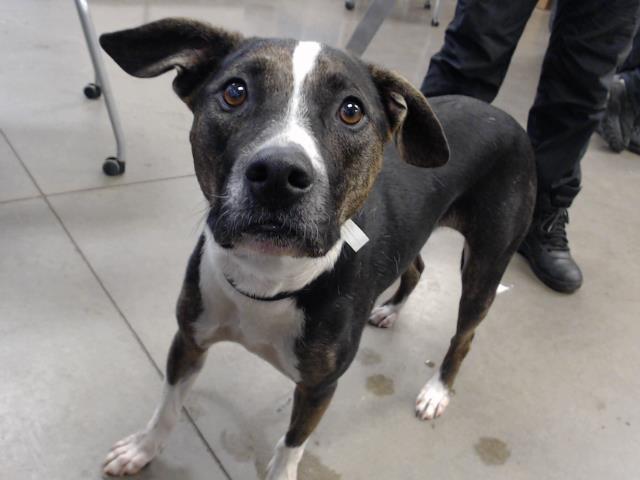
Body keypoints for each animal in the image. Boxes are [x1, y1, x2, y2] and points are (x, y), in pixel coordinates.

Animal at [99, 16, 536, 478]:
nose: (278, 173)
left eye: (351, 110)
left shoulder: (319, 386)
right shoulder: (189, 339)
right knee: (416, 267)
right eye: (235, 91)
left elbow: (293, 442)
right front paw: (143, 448)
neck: (268, 277)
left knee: (464, 336)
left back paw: (437, 390)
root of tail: (504, 116)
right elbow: (168, 406)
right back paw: (391, 310)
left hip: (485, 266)